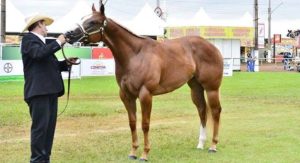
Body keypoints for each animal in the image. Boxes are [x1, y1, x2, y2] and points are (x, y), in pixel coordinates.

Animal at [67, 3, 224, 161]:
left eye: (93, 22)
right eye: (83, 18)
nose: (69, 34)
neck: (135, 55)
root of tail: (213, 47)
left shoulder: (145, 94)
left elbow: (145, 124)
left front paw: (145, 153)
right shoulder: (126, 95)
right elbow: (132, 123)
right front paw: (133, 152)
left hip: (211, 88)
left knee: (215, 111)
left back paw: (213, 146)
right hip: (195, 87)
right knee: (202, 110)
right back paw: (201, 144)